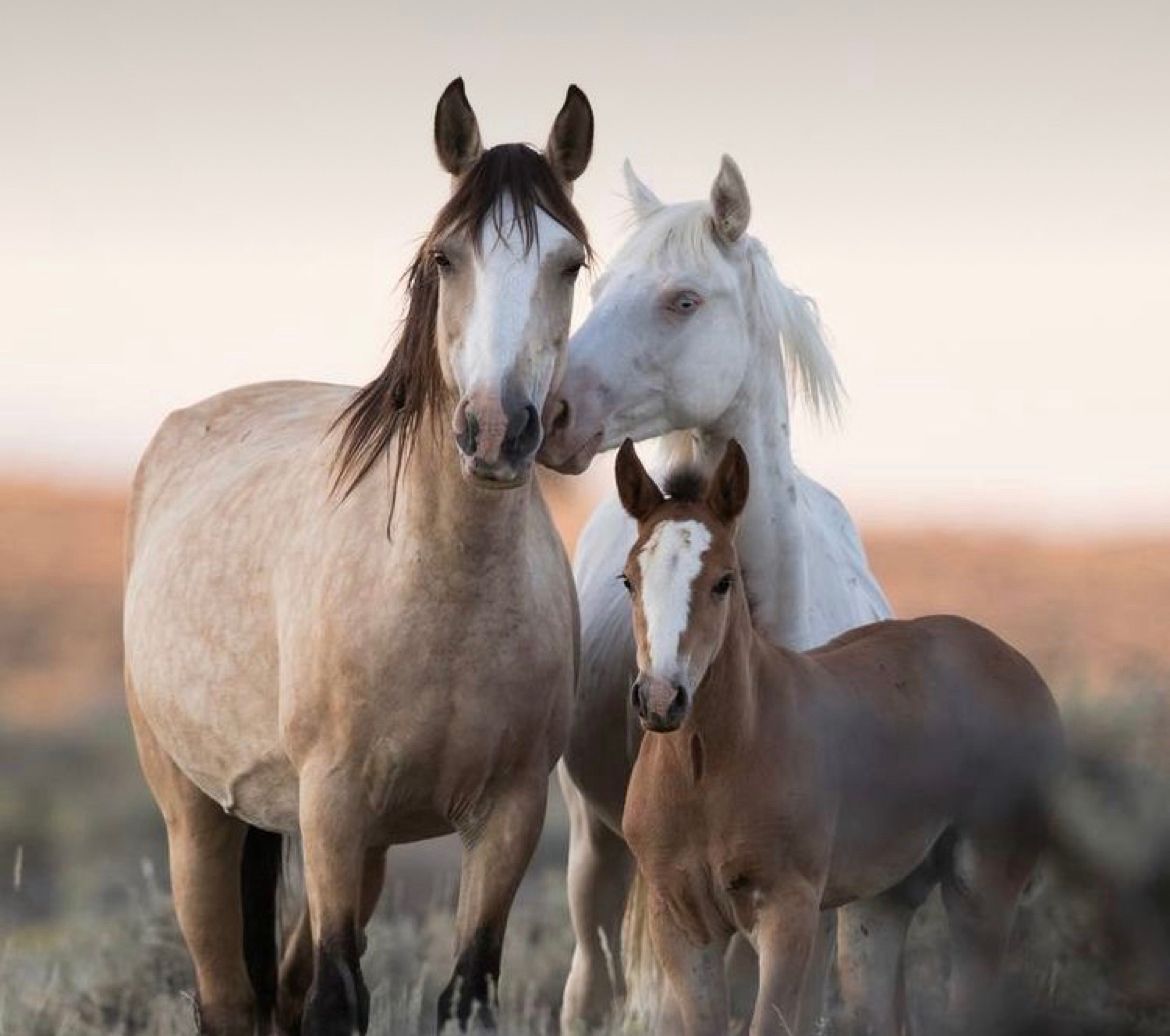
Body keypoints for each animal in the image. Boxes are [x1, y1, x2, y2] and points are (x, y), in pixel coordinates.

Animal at [123, 78, 594, 1036]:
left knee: (281, 987)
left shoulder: (508, 816)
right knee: (229, 998)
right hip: (199, 818)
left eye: (569, 263)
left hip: (364, 844)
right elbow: (339, 998)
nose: (497, 430)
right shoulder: (332, 805)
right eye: (446, 258)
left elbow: (464, 993)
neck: (441, 591)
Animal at [537, 157, 892, 1030]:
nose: (549, 413)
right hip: (594, 851)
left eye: (684, 300)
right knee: (588, 988)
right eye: (597, 290)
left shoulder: (802, 901)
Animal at [614, 438, 1063, 1036]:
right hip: (881, 904)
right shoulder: (682, 923)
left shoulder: (788, 913)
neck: (709, 771)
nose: (662, 698)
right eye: (628, 580)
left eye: (723, 581)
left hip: (983, 889)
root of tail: (1019, 666)